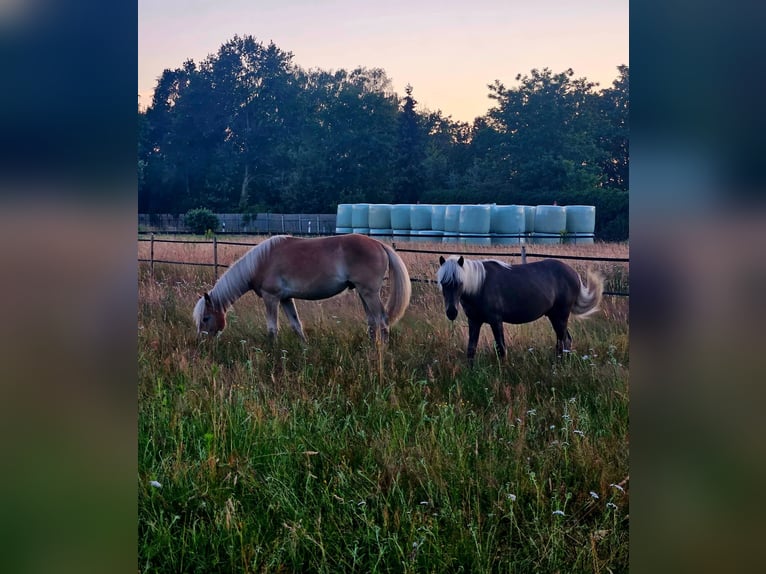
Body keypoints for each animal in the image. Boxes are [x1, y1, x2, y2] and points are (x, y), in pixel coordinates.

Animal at [193, 234, 411, 343]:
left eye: (205, 318)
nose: (201, 341)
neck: (261, 262)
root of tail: (379, 244)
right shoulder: (285, 299)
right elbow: (296, 325)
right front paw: (305, 349)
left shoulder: (271, 298)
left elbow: (272, 328)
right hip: (362, 293)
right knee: (373, 322)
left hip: (369, 293)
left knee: (382, 321)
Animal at [436, 255, 603, 361]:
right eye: (443, 283)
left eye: (459, 283)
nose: (451, 312)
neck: (480, 285)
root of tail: (574, 274)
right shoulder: (474, 321)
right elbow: (471, 349)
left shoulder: (496, 321)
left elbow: (501, 349)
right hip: (554, 316)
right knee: (562, 341)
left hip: (561, 316)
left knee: (564, 341)